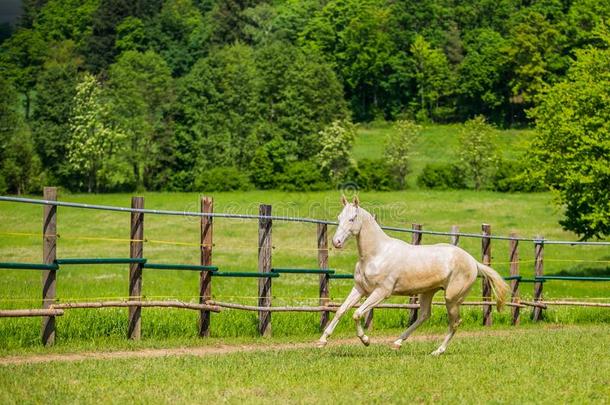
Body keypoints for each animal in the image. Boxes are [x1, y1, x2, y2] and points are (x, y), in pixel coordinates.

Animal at [318, 196, 508, 354]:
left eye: (352, 219)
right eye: (338, 218)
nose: (336, 242)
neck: (377, 254)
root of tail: (473, 262)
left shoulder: (381, 292)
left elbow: (357, 314)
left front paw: (366, 340)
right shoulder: (360, 289)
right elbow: (341, 310)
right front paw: (321, 341)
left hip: (452, 298)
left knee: (454, 323)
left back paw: (437, 351)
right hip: (427, 292)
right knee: (424, 316)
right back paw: (397, 343)